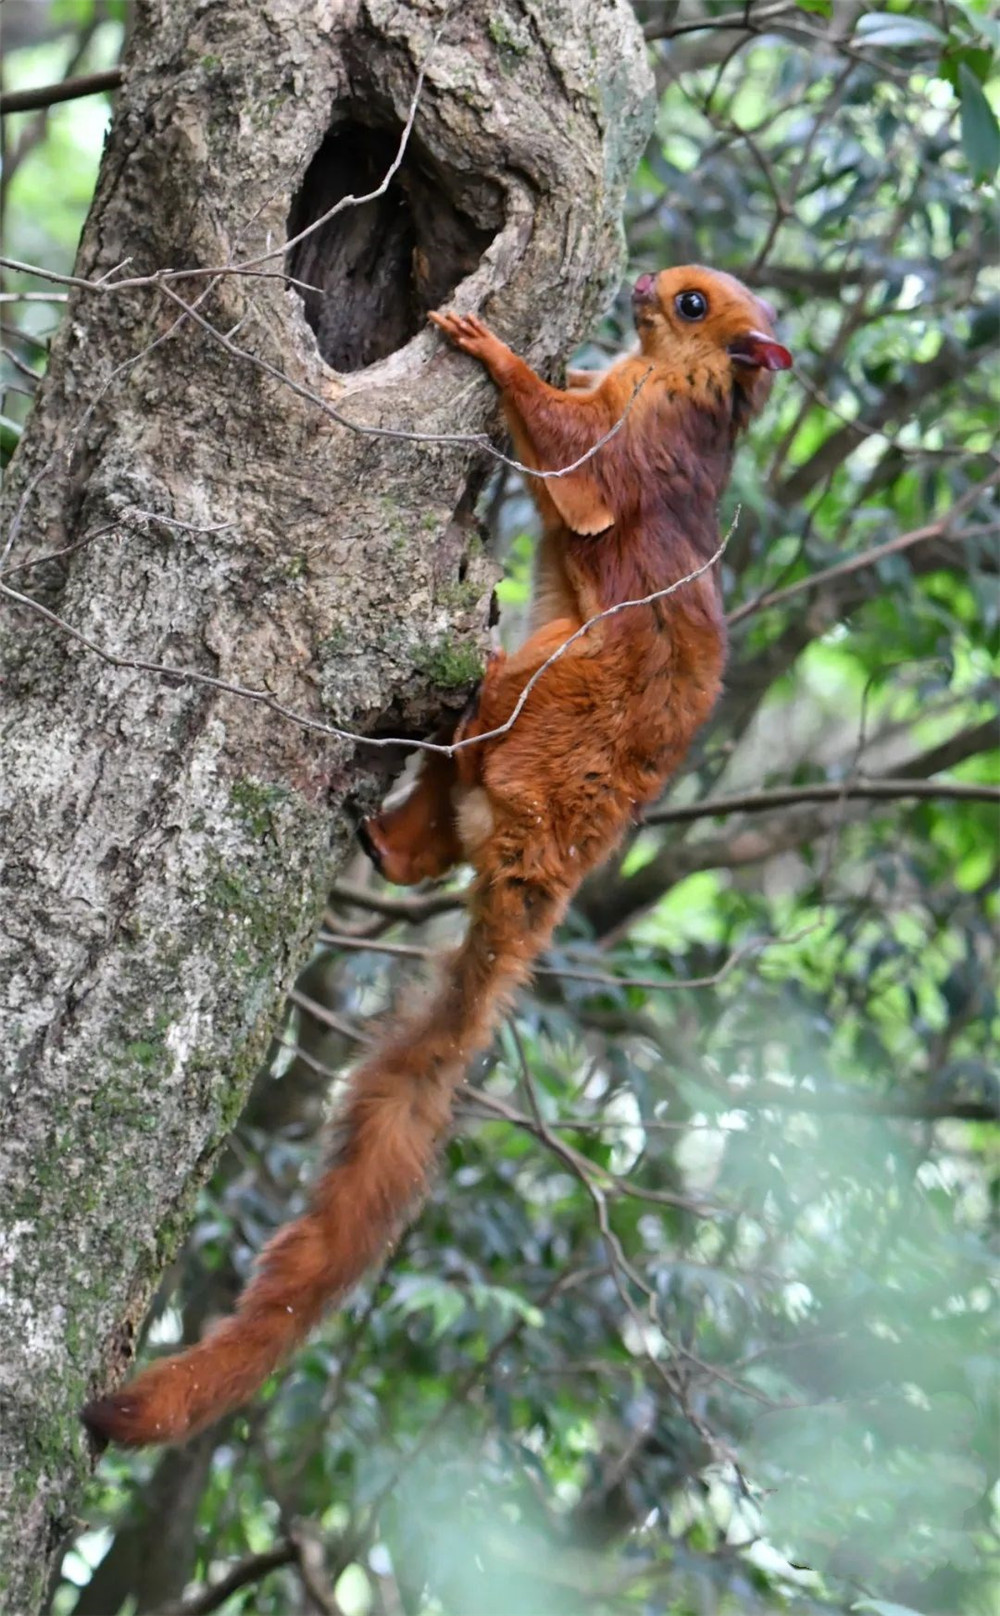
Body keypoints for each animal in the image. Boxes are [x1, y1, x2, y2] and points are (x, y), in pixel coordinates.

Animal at [81, 268, 794, 1454]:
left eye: (695, 305)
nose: (644, 281)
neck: (672, 378)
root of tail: (553, 853)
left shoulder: (639, 444)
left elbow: (578, 466)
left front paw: (489, 347)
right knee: (431, 846)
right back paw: (390, 828)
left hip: (552, 702)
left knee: (486, 733)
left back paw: (452, 723)